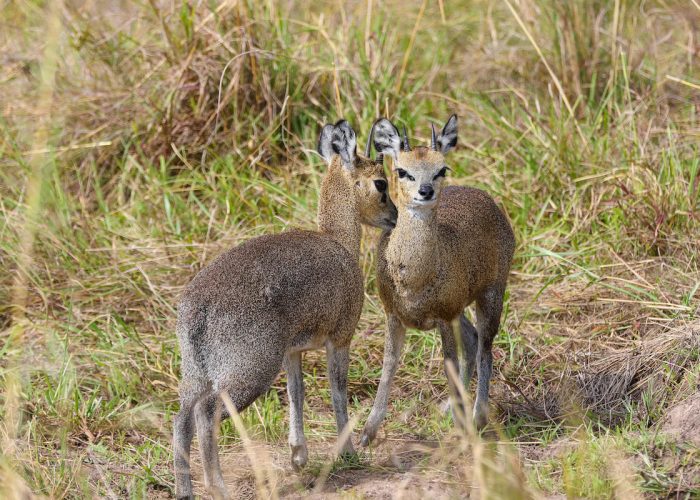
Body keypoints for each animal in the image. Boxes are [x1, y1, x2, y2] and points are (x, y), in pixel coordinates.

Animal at [173, 121, 396, 500]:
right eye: (381, 182)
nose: (394, 216)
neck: (339, 242)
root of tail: (196, 312)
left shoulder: (294, 352)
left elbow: (297, 392)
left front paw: (299, 456)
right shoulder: (340, 339)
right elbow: (338, 390)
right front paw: (349, 453)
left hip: (196, 374)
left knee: (182, 419)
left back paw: (185, 489)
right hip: (250, 371)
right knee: (206, 413)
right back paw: (218, 487)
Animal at [360, 114, 516, 446]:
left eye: (441, 168)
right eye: (401, 170)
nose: (426, 191)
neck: (413, 278)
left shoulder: (444, 317)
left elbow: (449, 366)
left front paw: (463, 427)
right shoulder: (394, 315)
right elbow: (389, 365)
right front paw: (366, 433)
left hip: (491, 294)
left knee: (485, 347)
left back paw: (477, 417)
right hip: (460, 310)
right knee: (473, 340)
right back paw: (450, 409)